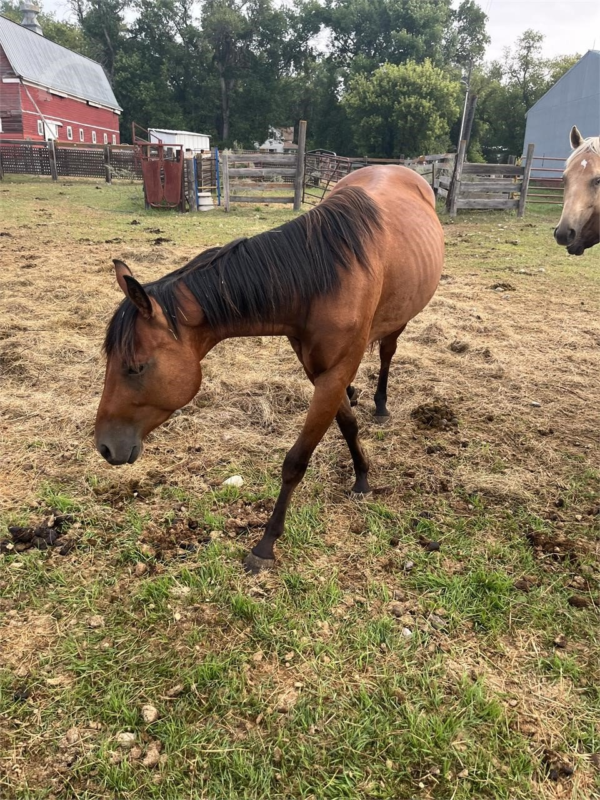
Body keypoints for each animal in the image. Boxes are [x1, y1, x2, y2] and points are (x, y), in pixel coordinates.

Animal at [96, 166, 446, 572]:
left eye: (136, 367)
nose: (104, 446)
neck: (324, 277)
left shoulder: (334, 371)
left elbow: (296, 461)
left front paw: (266, 544)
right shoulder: (318, 369)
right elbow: (346, 423)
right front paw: (361, 474)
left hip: (399, 319)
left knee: (388, 352)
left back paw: (381, 404)